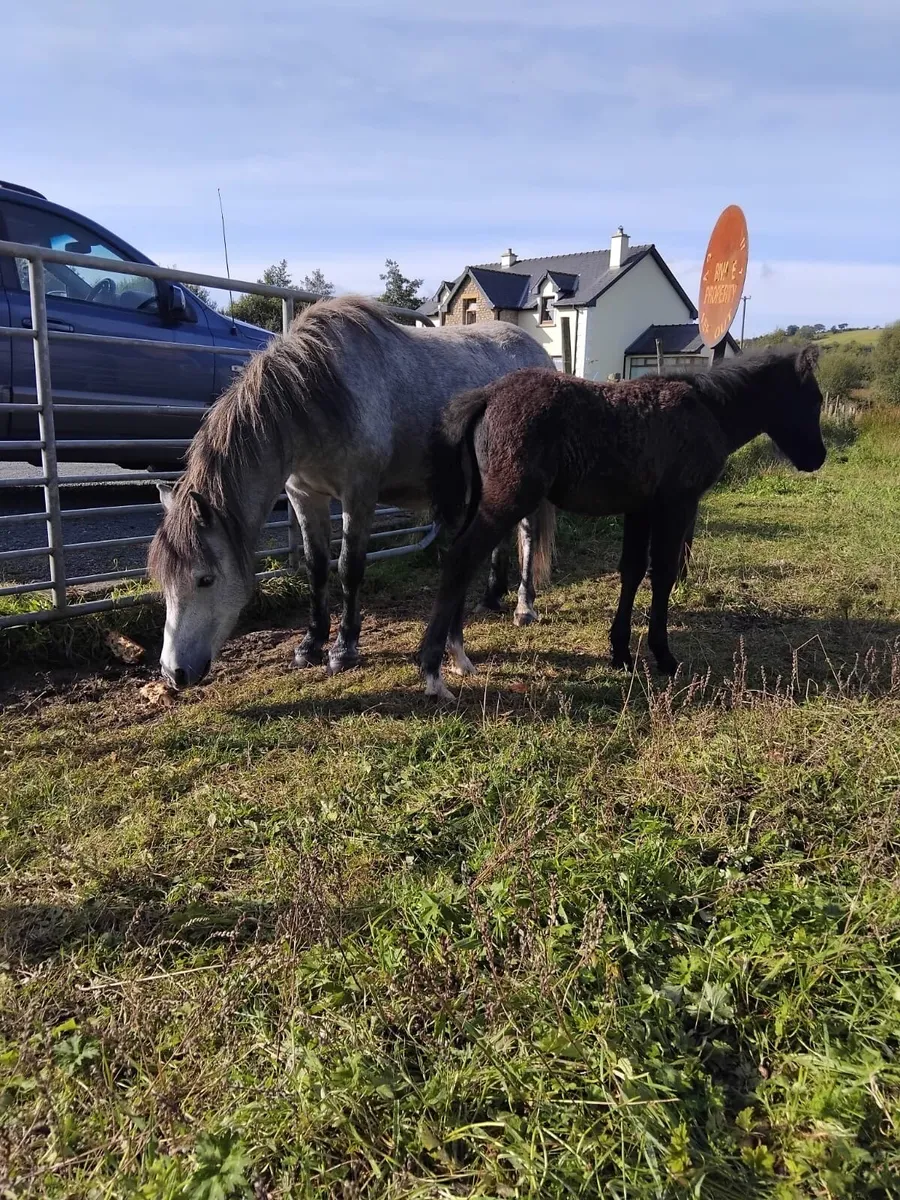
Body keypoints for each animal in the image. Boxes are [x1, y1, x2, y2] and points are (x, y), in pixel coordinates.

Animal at [147, 295, 555, 688]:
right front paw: (310, 645)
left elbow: (348, 567)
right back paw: (490, 597)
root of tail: (539, 355)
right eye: (165, 582)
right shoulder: (304, 496)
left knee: (527, 532)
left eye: (205, 579)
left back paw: (524, 607)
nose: (173, 673)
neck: (317, 397)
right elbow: (315, 567)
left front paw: (344, 649)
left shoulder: (359, 495)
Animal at [419, 345, 827, 700]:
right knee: (460, 559)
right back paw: (433, 674)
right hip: (508, 500)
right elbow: (663, 573)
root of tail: (488, 395)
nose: (818, 458)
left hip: (483, 499)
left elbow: (632, 571)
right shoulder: (677, 503)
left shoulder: (640, 508)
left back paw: (459, 657)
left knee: (461, 560)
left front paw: (620, 653)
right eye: (814, 400)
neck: (707, 409)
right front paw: (663, 656)